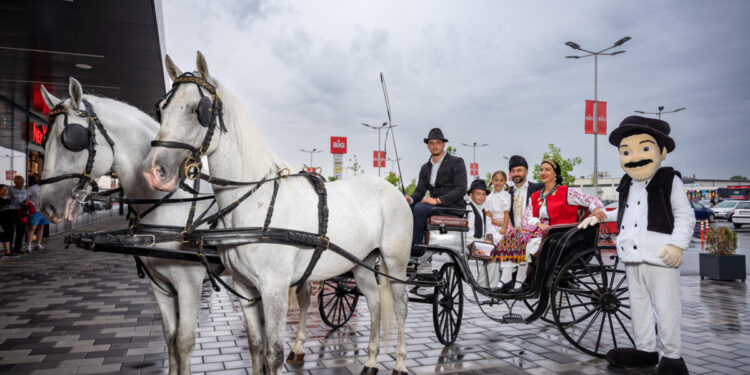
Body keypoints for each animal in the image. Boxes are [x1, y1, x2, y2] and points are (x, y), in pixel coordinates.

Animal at [36, 78, 314, 374]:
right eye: (44, 138)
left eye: (71, 140)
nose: (48, 206)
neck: (168, 205)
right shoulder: (159, 283)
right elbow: (169, 336)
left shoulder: (189, 282)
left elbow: (184, 340)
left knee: (305, 298)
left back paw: (298, 347)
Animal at [143, 53, 414, 375]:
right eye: (161, 107)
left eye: (200, 109)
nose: (154, 170)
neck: (254, 203)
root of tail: (394, 189)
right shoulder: (245, 287)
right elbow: (255, 346)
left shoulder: (274, 287)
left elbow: (273, 352)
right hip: (362, 261)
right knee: (374, 303)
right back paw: (371, 361)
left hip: (395, 263)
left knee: (400, 305)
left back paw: (399, 362)